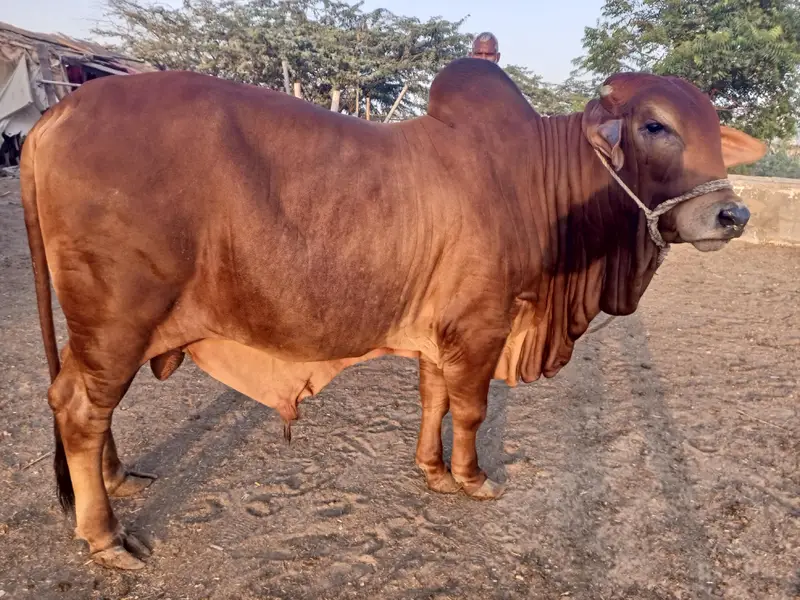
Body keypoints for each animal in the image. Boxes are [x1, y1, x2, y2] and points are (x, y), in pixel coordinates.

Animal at [20, 57, 766, 570]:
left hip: (100, 329)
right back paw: (105, 537)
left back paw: (116, 481)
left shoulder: (442, 334)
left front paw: (431, 470)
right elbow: (471, 409)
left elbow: (433, 398)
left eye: (713, 130)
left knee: (82, 402)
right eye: (654, 126)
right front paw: (472, 478)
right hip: (118, 319)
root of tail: (55, 118)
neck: (535, 180)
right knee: (80, 406)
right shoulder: (482, 325)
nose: (732, 214)